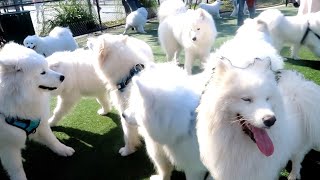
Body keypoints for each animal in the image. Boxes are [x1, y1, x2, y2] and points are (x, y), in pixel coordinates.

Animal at [0, 42, 75, 180]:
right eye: (43, 72)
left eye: (47, 67)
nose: (63, 77)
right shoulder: (8, 144)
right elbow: (16, 169)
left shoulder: (39, 123)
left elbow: (52, 139)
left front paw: (63, 150)